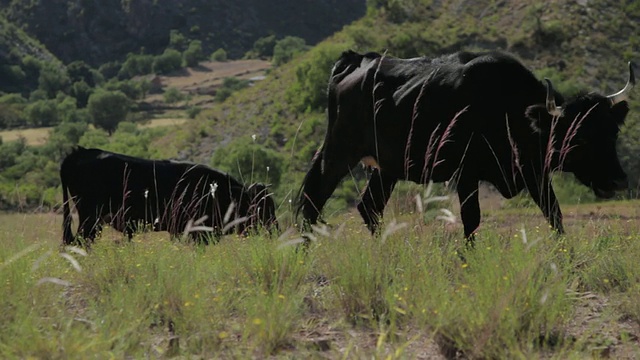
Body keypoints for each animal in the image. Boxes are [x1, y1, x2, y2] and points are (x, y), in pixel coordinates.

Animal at [296, 50, 636, 242]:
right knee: (313, 199)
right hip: (338, 152)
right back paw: (303, 251)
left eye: (612, 133)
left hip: (388, 167)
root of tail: (357, 60)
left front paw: (566, 259)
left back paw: (385, 251)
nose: (619, 181)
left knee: (369, 207)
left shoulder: (534, 173)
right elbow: (471, 219)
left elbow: (555, 215)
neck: (508, 108)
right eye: (580, 138)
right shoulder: (467, 172)